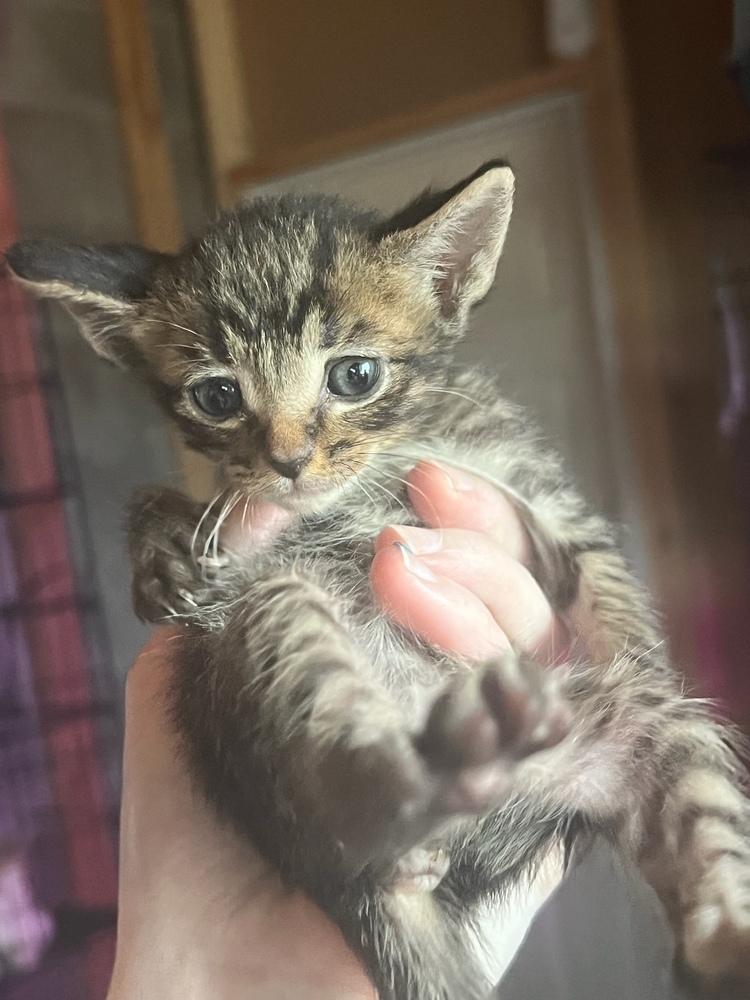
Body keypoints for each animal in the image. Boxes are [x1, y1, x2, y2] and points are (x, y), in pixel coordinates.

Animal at [8, 164, 750, 1000]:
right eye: (218, 396)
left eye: (354, 376)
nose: (290, 461)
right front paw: (157, 539)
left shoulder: (523, 474)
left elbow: (601, 568)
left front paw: (637, 644)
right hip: (272, 623)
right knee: (353, 801)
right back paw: (429, 770)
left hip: (652, 729)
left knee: (700, 830)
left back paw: (726, 942)